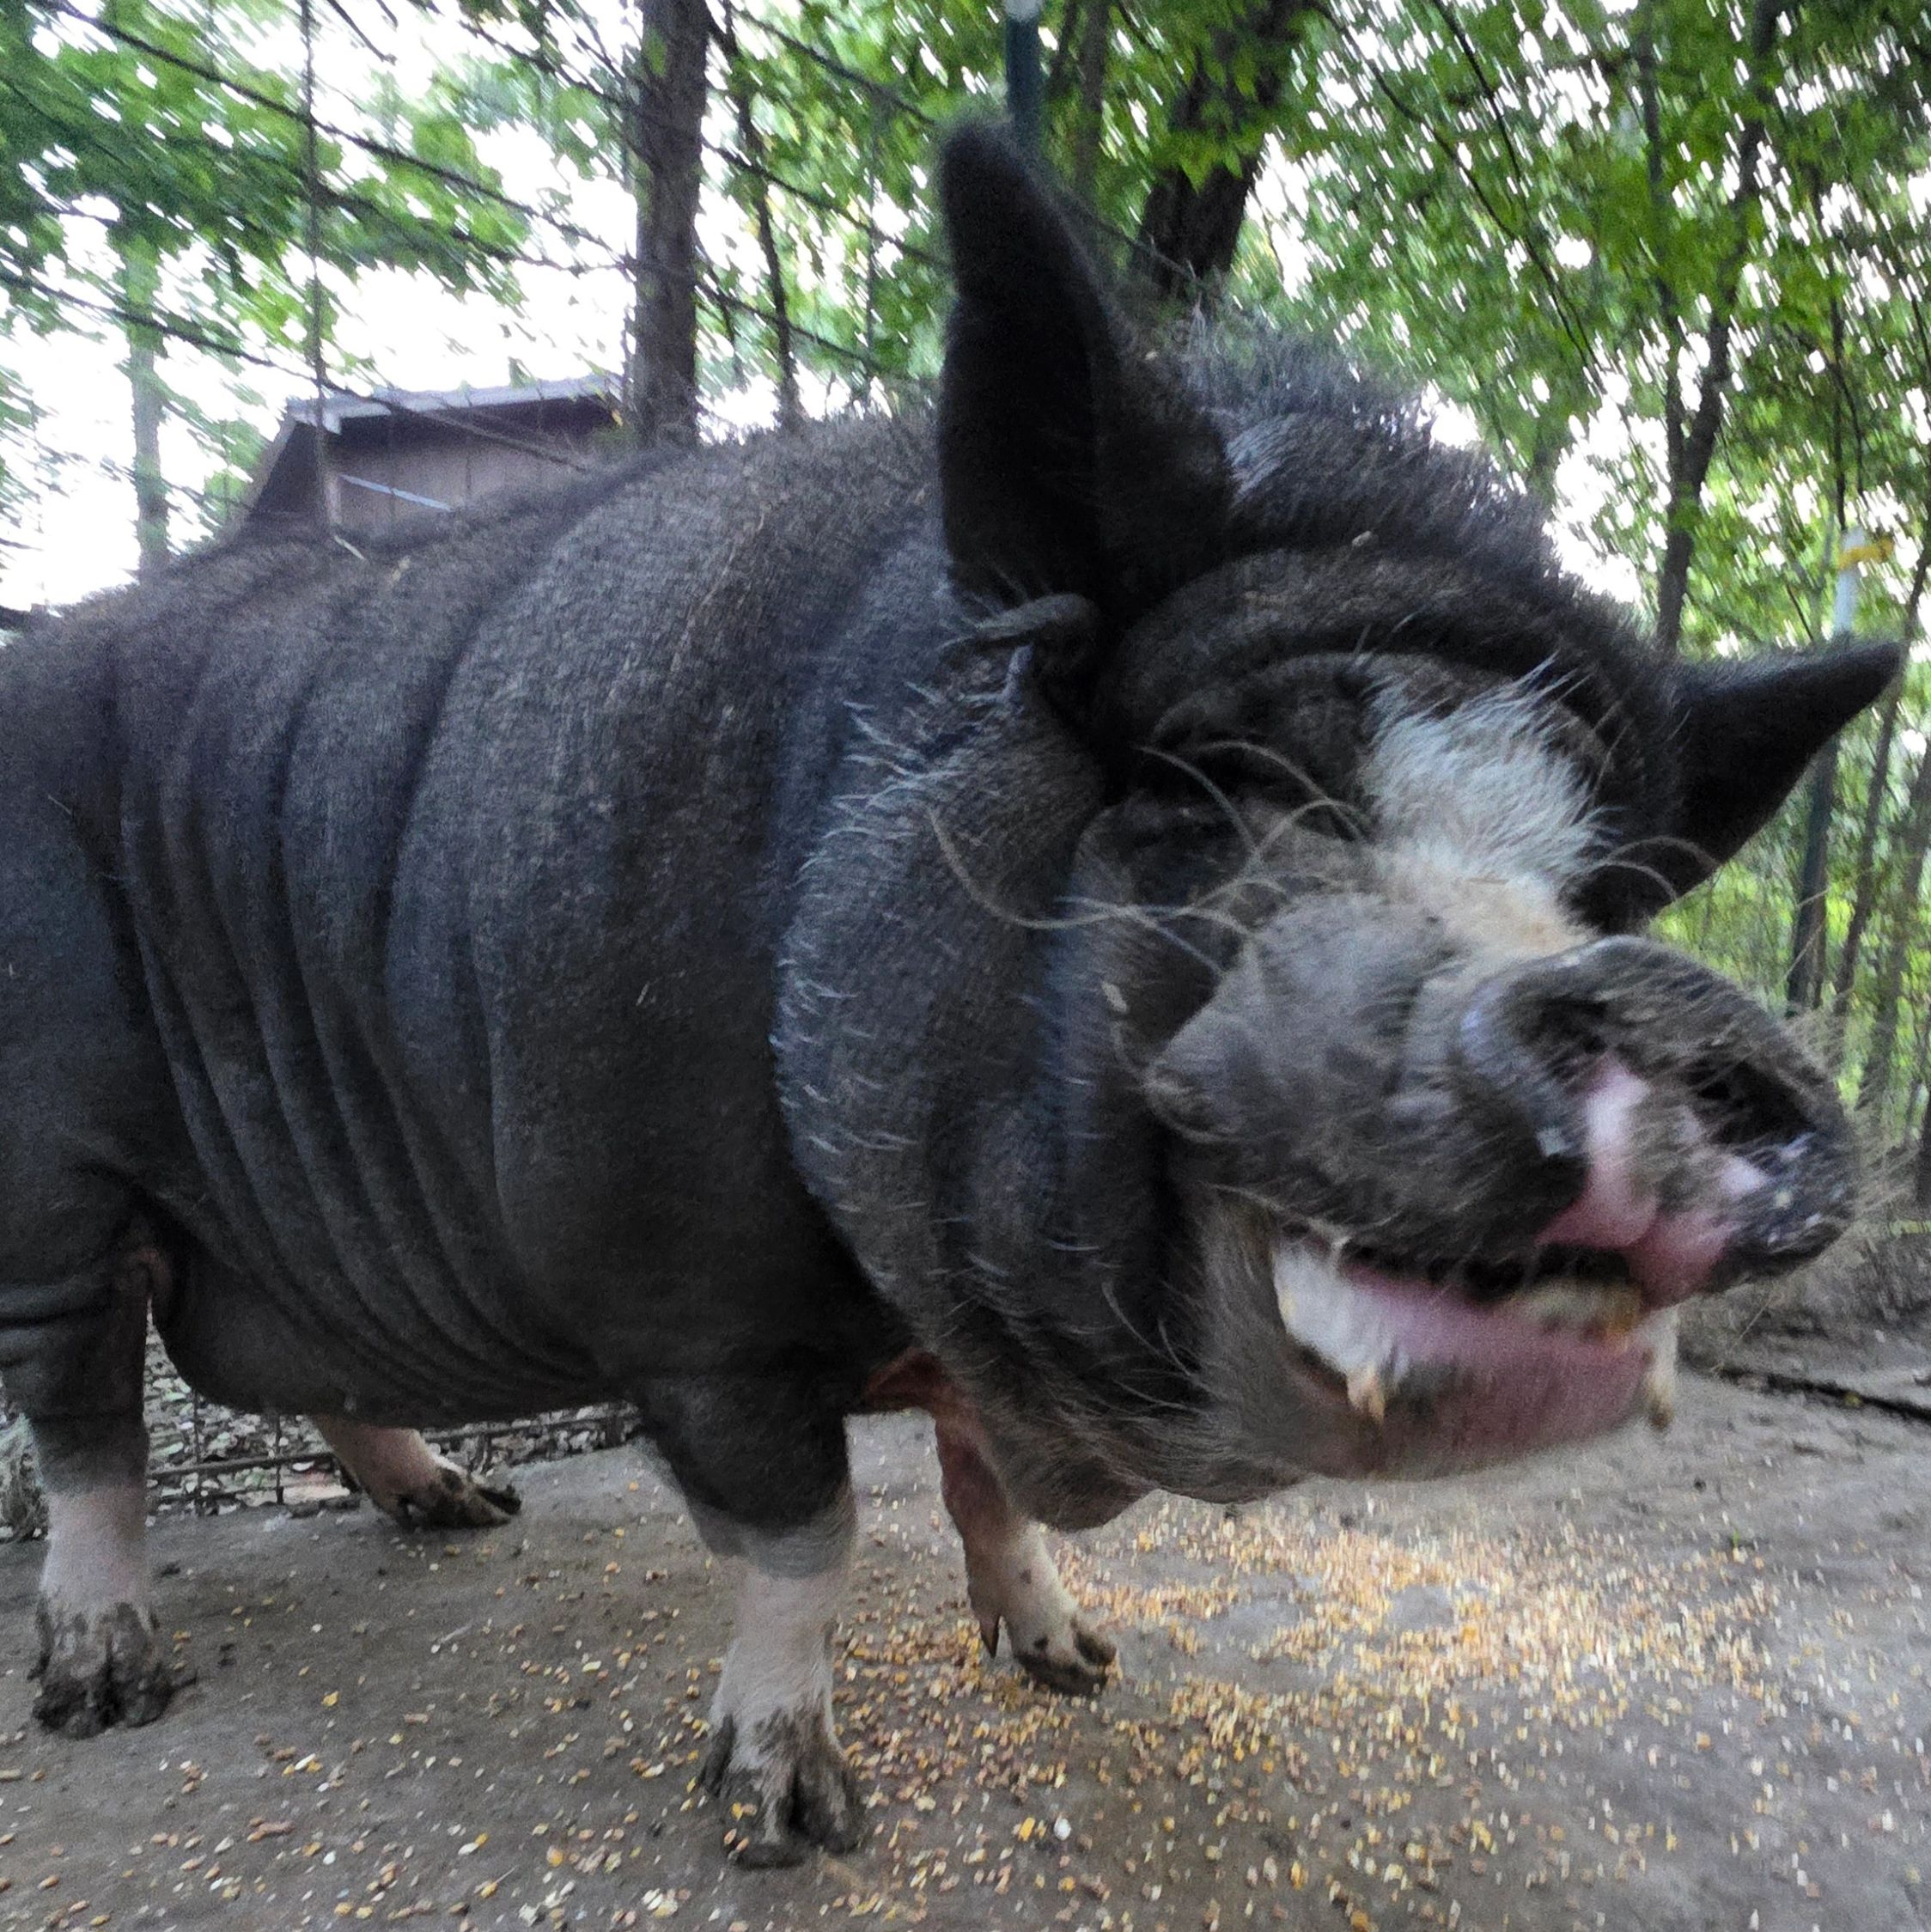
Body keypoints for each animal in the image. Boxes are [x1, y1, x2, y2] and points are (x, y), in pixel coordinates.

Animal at [0, 124, 1896, 1865]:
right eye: (1209, 783)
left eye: (1600, 887)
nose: (1661, 995)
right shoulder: (687, 1290)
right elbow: (805, 1535)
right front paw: (785, 1815)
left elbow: (982, 1485)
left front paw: (1074, 1658)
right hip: (63, 1164)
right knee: (87, 1415)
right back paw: (106, 1686)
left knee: (290, 1366)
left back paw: (466, 1507)